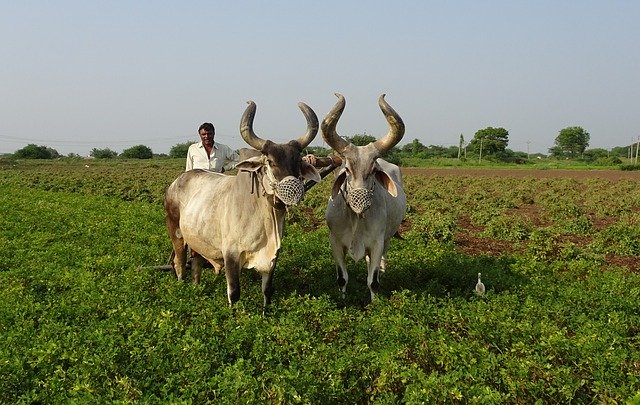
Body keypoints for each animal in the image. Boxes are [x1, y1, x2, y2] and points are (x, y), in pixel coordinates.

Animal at [163, 100, 321, 311]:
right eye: (269, 161)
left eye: (297, 161)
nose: (293, 191)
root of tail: (176, 182)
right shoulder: (231, 253)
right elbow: (234, 293)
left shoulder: (273, 256)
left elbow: (267, 290)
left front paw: (265, 313)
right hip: (176, 232)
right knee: (179, 261)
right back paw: (182, 288)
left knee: (196, 261)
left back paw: (197, 288)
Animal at [321, 93, 406, 301]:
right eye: (347, 170)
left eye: (374, 170)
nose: (360, 201)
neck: (356, 219)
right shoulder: (335, 242)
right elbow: (342, 278)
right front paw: (342, 300)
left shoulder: (377, 243)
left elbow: (373, 281)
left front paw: (375, 303)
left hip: (387, 239)